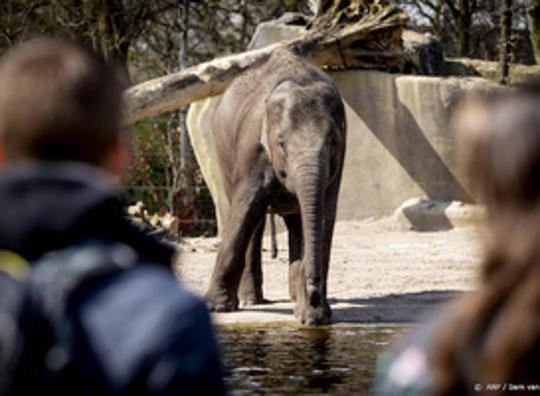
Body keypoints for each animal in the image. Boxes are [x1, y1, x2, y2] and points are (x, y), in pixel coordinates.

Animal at [205, 48, 348, 324]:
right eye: (281, 144)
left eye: (333, 142)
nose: (315, 294)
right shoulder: (251, 149)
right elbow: (245, 208)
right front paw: (216, 307)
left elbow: (325, 214)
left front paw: (312, 316)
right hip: (223, 154)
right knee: (255, 221)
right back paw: (251, 301)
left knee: (296, 222)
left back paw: (291, 297)